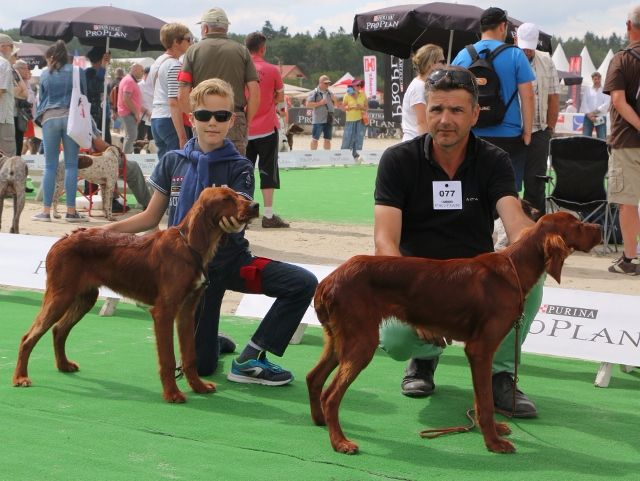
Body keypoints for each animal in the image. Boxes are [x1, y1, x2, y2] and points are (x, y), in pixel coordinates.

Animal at [12, 187, 258, 402]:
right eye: (226, 198)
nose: (255, 205)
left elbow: (190, 356)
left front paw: (198, 387)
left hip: (84, 298)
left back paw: (63, 365)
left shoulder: (187, 311)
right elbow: (169, 359)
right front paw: (172, 394)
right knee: (28, 337)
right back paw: (20, 377)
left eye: (237, 194)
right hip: (60, 296)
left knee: (58, 330)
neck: (189, 248)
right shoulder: (164, 312)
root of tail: (63, 239)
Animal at [308, 213, 604, 454]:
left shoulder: (480, 351)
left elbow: (481, 397)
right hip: (362, 342)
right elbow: (485, 401)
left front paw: (493, 429)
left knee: (314, 378)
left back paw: (319, 421)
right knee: (331, 395)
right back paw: (340, 442)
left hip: (339, 340)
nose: (600, 228)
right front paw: (493, 442)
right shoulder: (480, 348)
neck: (515, 269)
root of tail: (328, 281)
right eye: (579, 225)